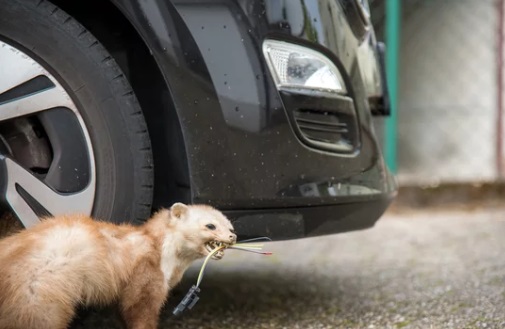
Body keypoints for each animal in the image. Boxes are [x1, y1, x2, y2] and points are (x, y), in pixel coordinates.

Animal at [0, 202, 234, 328]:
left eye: (230, 226)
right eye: (210, 225)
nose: (232, 236)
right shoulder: (146, 283)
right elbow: (140, 314)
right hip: (38, 303)